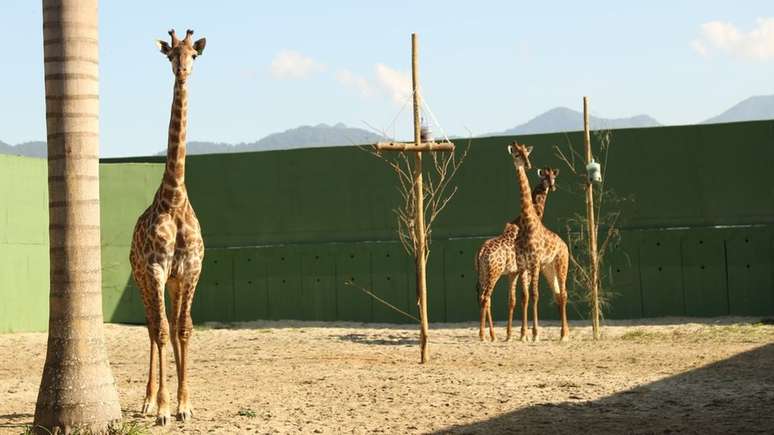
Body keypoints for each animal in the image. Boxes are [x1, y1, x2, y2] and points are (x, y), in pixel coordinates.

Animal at [476, 169, 560, 342]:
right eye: (545, 177)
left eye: (554, 177)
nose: (552, 186)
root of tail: (480, 252)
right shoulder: (526, 270)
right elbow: (526, 297)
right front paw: (526, 334)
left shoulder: (513, 273)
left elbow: (512, 301)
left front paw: (510, 334)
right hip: (494, 273)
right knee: (486, 298)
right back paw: (484, 335)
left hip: (483, 274)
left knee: (484, 298)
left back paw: (491, 335)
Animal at [506, 145, 572, 342]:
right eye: (544, 177)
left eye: (553, 177)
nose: (552, 186)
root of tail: (565, 246)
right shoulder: (525, 265)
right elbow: (525, 296)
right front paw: (525, 334)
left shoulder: (534, 264)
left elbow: (532, 295)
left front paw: (531, 333)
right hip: (546, 268)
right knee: (557, 295)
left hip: (559, 265)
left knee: (562, 294)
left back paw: (564, 334)